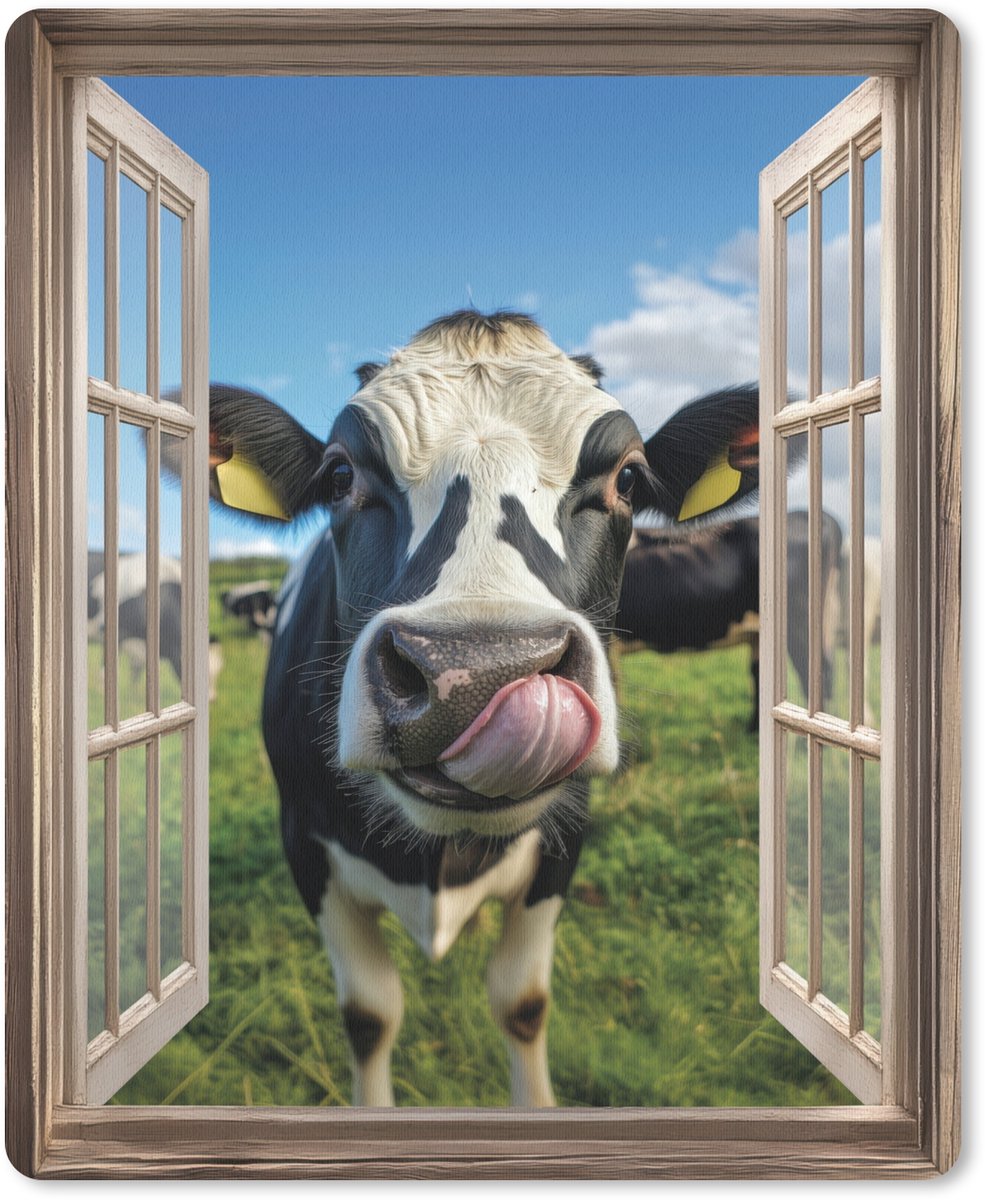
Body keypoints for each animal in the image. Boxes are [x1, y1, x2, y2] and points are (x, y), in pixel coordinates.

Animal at [206, 311, 761, 1106]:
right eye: (340, 474)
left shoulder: (564, 841)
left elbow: (521, 1003)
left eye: (627, 476)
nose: (475, 673)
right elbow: (369, 1014)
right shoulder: (304, 843)